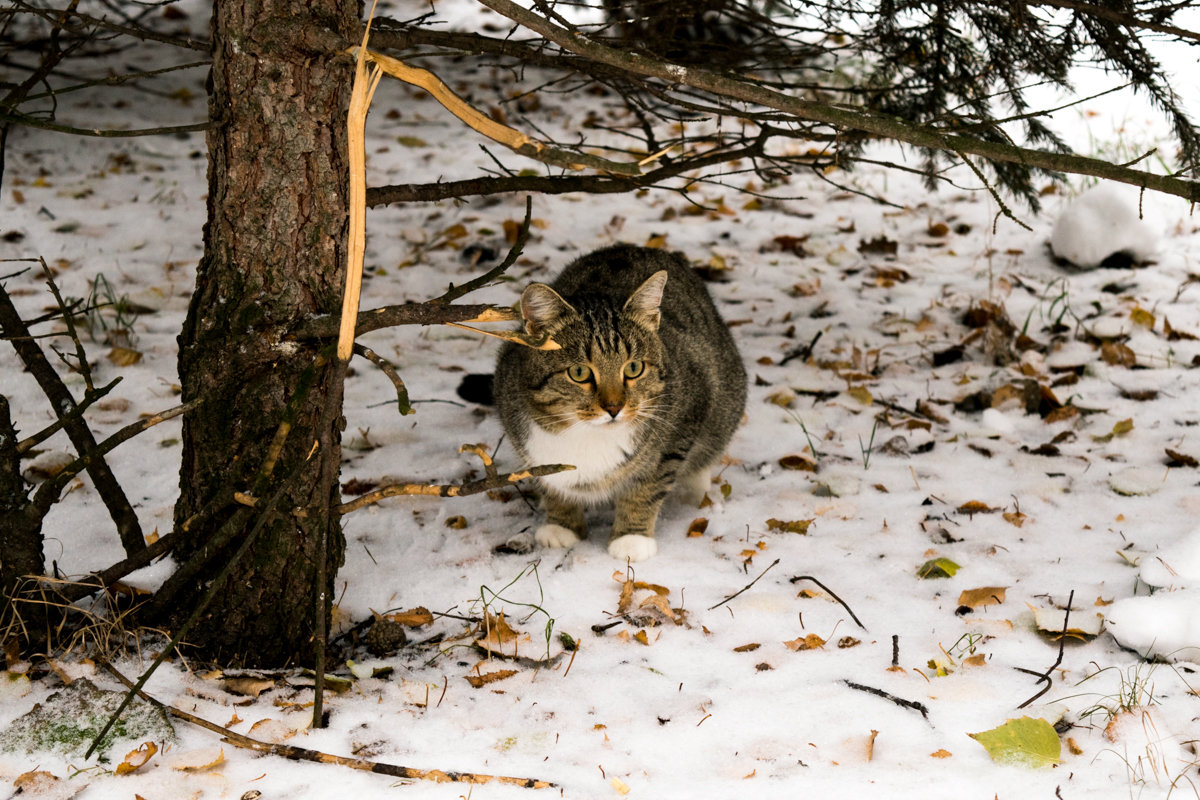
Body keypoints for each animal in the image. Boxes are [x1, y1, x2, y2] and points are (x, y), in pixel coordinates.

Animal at [494, 244, 739, 563]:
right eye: (579, 372)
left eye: (634, 368)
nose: (614, 408)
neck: (584, 434)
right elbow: (548, 480)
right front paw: (561, 525)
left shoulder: (687, 416)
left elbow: (647, 486)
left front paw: (631, 539)